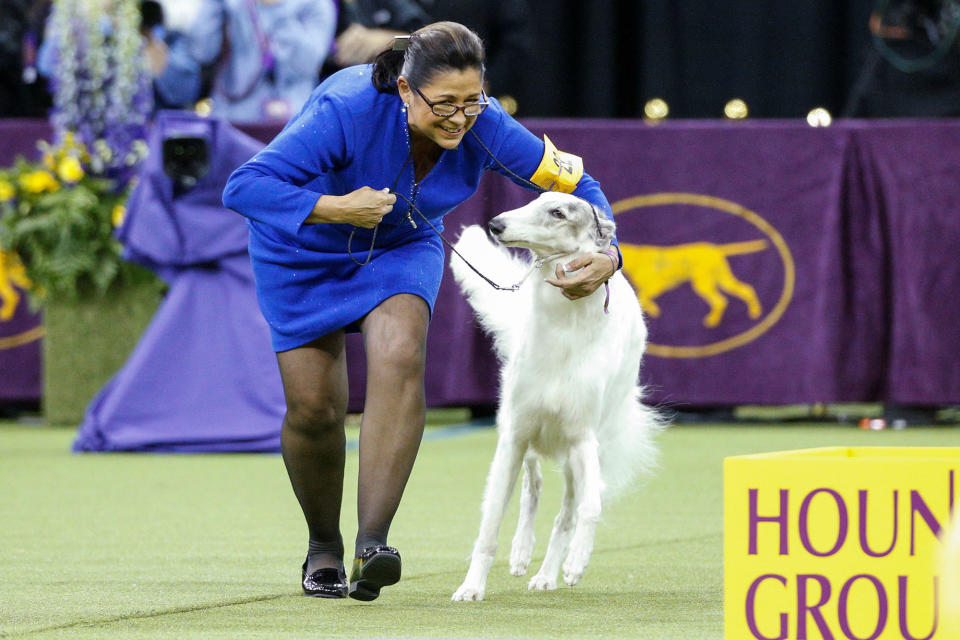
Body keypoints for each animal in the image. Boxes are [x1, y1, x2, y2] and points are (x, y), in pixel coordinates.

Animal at [448, 192, 660, 604]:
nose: (495, 224)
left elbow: (589, 508)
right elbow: (490, 524)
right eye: (536, 198)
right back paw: (521, 553)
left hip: (587, 447)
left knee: (567, 514)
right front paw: (471, 587)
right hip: (521, 428)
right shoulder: (515, 434)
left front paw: (576, 563)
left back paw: (547, 574)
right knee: (532, 486)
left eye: (557, 212)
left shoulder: (582, 440)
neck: (565, 331)